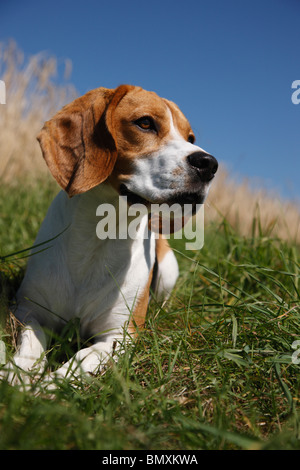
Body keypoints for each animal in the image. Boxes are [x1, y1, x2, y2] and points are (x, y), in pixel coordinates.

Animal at [2, 85, 218, 386]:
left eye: (190, 138)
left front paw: (47, 388)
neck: (100, 237)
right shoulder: (27, 310)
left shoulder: (119, 336)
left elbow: (79, 362)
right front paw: (18, 377)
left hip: (168, 273)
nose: (209, 164)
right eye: (145, 123)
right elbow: (30, 343)